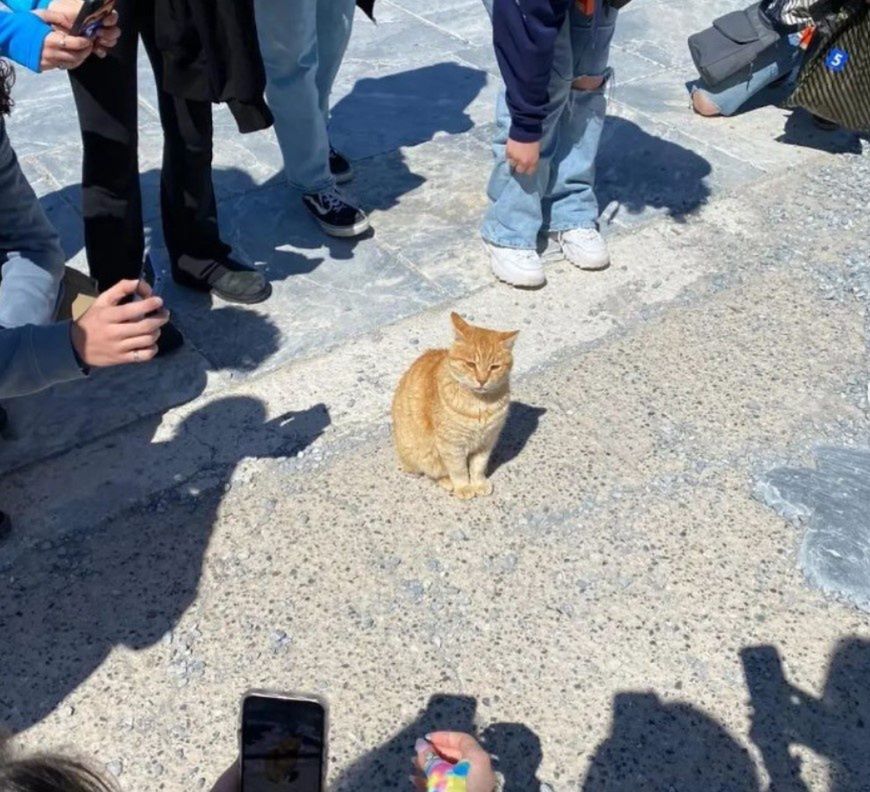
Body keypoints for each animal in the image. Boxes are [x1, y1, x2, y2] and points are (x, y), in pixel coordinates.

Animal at [394, 312, 516, 498]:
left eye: (494, 367)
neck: (480, 405)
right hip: (425, 454)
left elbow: (478, 467)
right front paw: (464, 487)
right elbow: (459, 470)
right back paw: (447, 482)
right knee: (434, 472)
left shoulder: (487, 442)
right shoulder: (452, 446)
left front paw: (478, 483)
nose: (482, 380)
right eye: (471, 364)